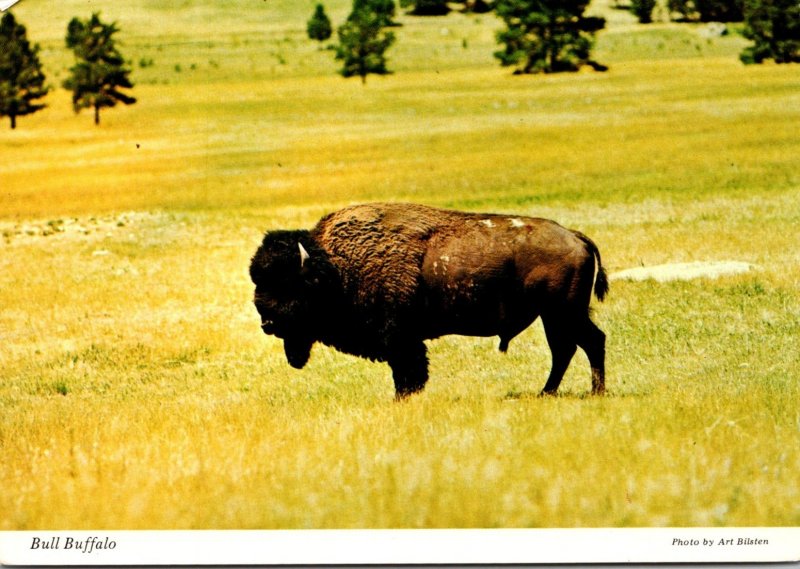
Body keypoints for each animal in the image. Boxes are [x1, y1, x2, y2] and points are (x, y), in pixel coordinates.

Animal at [250, 202, 608, 398]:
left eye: (289, 285)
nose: (267, 323)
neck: (335, 267)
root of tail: (575, 237)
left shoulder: (400, 340)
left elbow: (408, 374)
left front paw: (402, 400)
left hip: (562, 313)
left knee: (587, 343)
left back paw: (592, 392)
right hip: (556, 316)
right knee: (569, 349)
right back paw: (549, 392)